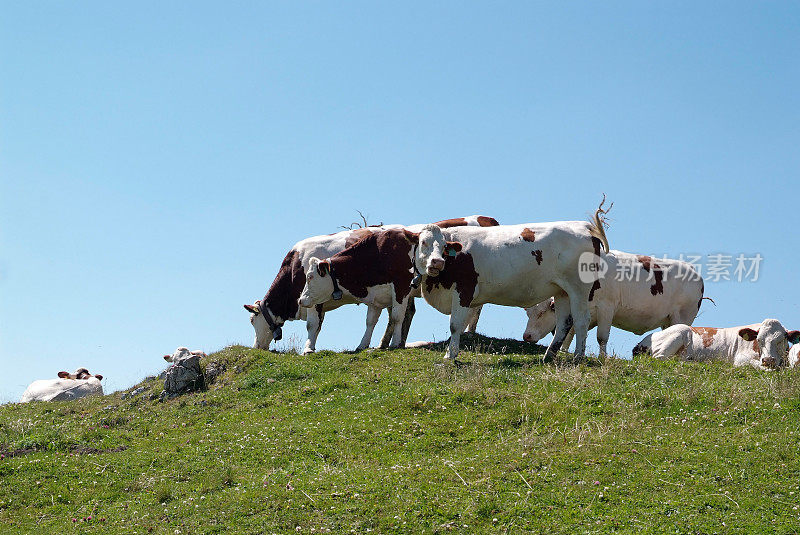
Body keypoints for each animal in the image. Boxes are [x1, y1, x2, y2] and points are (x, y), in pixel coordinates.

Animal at [244, 216, 496, 354]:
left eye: (252, 321)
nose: (256, 347)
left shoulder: (315, 300)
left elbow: (312, 325)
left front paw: (308, 348)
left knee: (474, 308)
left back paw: (469, 332)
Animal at [404, 202, 608, 364]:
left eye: (444, 246)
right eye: (423, 243)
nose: (437, 262)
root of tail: (583, 226)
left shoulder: (464, 291)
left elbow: (455, 324)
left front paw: (450, 355)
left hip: (579, 289)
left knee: (581, 320)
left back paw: (578, 357)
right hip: (562, 291)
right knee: (564, 323)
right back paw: (548, 356)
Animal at [524, 252, 708, 360]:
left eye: (542, 312)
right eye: (529, 313)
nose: (527, 336)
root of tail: (693, 270)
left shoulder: (606, 307)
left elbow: (602, 337)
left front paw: (602, 358)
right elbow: (570, 332)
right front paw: (563, 351)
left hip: (683, 316)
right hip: (667, 321)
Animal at [632, 320, 800, 370]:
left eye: (781, 339)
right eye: (759, 340)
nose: (768, 360)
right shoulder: (740, 360)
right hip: (679, 332)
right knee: (660, 358)